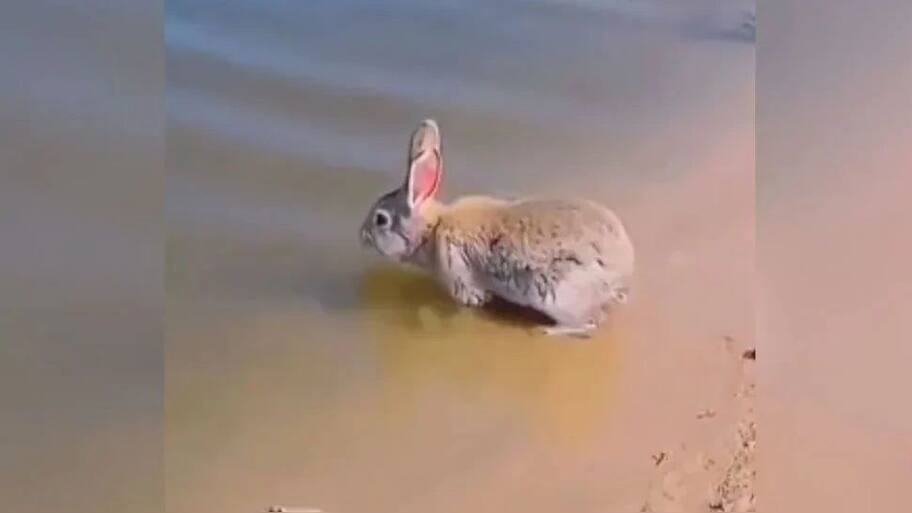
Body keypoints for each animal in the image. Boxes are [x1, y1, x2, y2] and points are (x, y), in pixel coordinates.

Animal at [360, 119, 634, 337]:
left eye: (381, 220)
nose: (363, 235)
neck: (431, 229)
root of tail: (621, 278)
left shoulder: (459, 274)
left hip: (560, 294)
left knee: (589, 325)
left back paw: (546, 330)